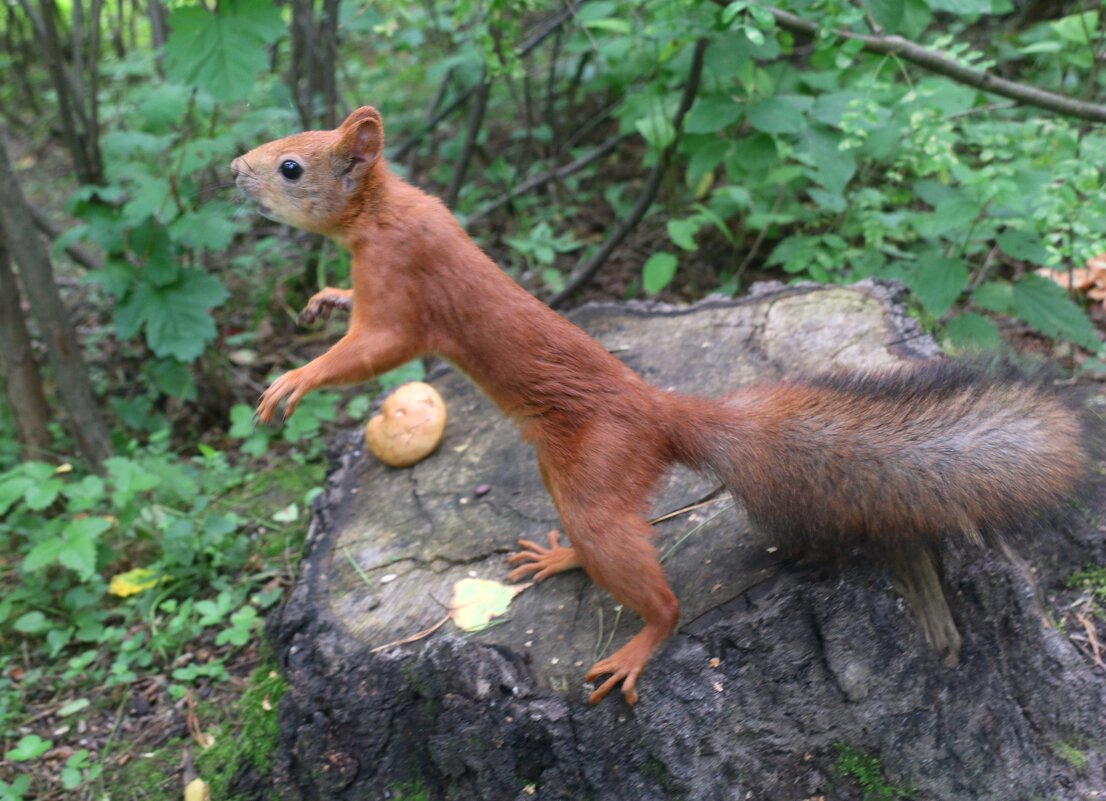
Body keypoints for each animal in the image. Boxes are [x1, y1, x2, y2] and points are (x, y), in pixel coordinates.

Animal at [228, 106, 1092, 708]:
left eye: (293, 165)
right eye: (282, 142)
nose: (233, 168)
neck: (381, 212)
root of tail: (660, 416)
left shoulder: (404, 292)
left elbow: (371, 352)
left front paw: (294, 379)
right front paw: (325, 297)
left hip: (598, 472)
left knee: (658, 591)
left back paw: (640, 641)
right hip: (567, 474)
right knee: (596, 542)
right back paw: (561, 559)